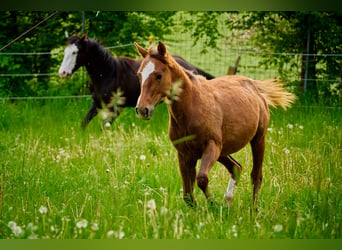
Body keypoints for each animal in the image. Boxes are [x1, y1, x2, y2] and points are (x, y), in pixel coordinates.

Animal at [58, 34, 214, 129]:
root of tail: (192, 67)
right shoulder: (96, 104)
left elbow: (104, 128)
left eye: (74, 52)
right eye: (65, 51)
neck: (107, 73)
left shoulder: (115, 107)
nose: (62, 72)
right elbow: (84, 124)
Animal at [135, 42, 296, 208]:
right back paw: (228, 201)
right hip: (223, 149)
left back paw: (252, 209)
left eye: (158, 75)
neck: (192, 107)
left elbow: (201, 179)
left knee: (256, 176)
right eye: (139, 75)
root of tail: (254, 87)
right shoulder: (185, 154)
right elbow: (188, 195)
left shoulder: (211, 146)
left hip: (257, 139)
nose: (142, 109)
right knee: (236, 167)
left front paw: (213, 205)